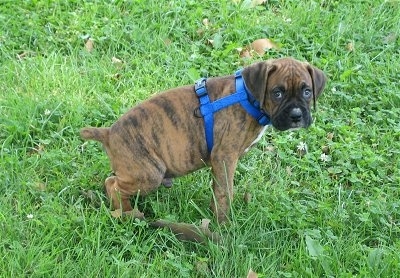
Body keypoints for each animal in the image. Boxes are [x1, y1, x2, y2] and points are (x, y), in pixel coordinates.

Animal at [80, 57, 324, 223]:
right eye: (277, 93)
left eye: (307, 91)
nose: (296, 116)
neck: (247, 96)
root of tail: (109, 133)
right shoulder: (224, 157)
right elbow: (225, 192)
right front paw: (223, 224)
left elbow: (218, 190)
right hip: (149, 173)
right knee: (113, 185)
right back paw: (128, 213)